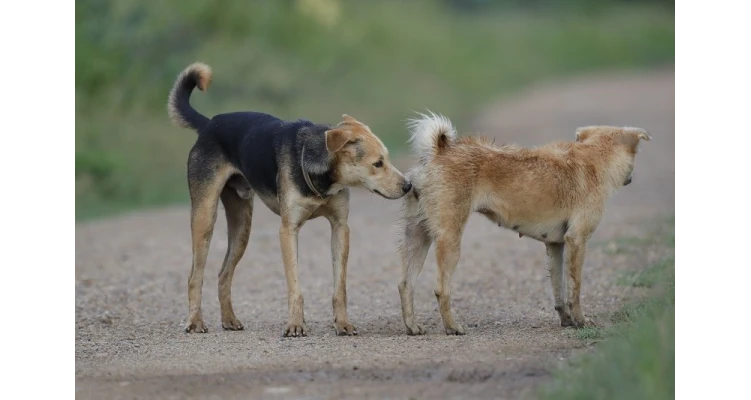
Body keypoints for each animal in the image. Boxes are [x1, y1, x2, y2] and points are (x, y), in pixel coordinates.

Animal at [169, 63, 412, 338]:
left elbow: (340, 287)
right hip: (205, 218)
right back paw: (195, 322)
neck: (321, 178)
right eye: (377, 164)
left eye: (387, 159)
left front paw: (342, 324)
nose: (408, 186)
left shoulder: (340, 227)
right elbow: (295, 286)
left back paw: (229, 320)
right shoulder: (288, 230)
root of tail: (209, 124)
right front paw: (295, 325)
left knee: (223, 274)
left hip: (242, 227)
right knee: (195, 277)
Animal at [396, 111, 648, 334]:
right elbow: (575, 289)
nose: (630, 178)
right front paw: (580, 321)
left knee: (405, 284)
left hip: (417, 237)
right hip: (449, 240)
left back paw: (412, 327)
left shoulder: (556, 246)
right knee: (441, 289)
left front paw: (566, 320)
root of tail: (439, 151)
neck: (593, 157)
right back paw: (452, 327)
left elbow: (559, 290)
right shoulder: (577, 240)